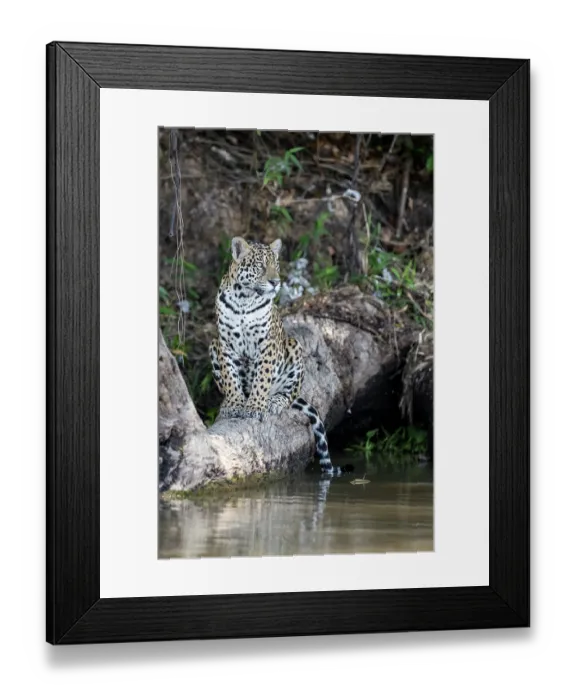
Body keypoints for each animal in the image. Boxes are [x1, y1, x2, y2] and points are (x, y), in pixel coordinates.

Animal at [209, 236, 340, 474]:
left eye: (276, 266)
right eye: (260, 266)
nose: (275, 282)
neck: (244, 299)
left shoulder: (267, 345)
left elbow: (262, 379)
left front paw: (255, 406)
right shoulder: (225, 344)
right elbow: (231, 378)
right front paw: (234, 404)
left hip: (294, 347)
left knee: (289, 393)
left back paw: (274, 401)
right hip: (212, 345)